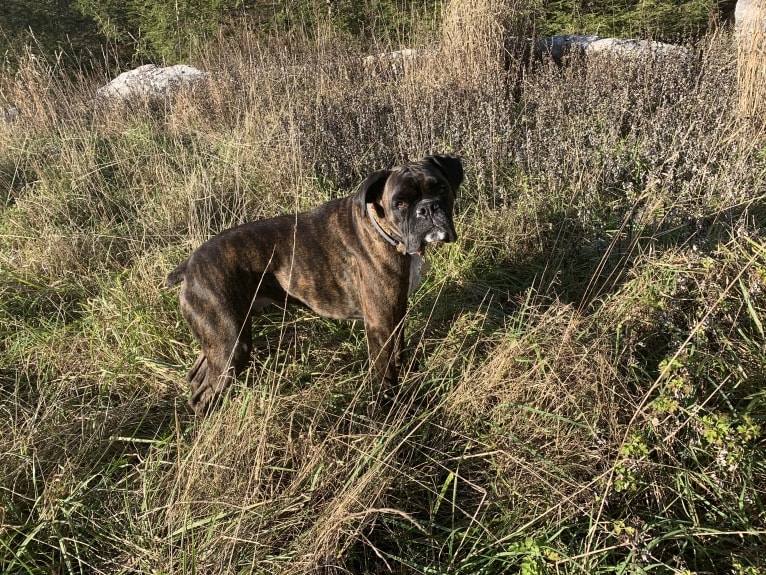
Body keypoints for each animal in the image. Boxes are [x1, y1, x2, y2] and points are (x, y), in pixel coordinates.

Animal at [167, 153, 464, 414]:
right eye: (400, 203)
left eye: (440, 188)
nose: (428, 208)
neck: (384, 231)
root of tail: (189, 266)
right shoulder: (380, 324)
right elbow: (385, 372)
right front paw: (390, 406)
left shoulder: (396, 312)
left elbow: (398, 350)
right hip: (231, 345)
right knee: (203, 394)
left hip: (218, 340)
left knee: (198, 374)